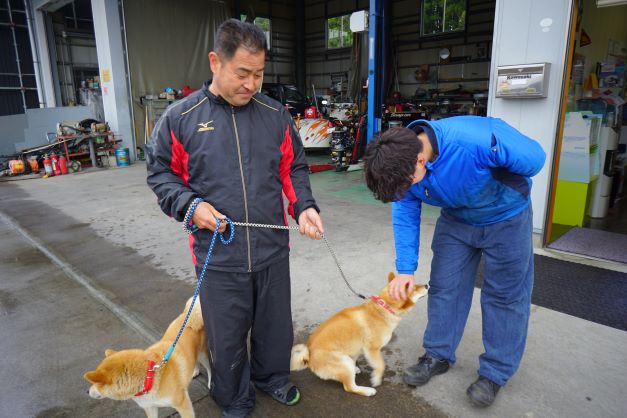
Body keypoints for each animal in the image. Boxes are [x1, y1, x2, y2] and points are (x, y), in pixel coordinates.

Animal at [82, 298, 211, 418]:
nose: (87, 391)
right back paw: (194, 371)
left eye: (96, 384)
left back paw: (210, 383)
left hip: (203, 354)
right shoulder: (150, 407)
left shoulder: (183, 404)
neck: (149, 377)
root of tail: (188, 315)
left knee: (209, 367)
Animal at [292, 272, 430, 396]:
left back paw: (355, 369)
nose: (427, 285)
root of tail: (308, 355)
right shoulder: (372, 349)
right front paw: (376, 378)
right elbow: (381, 365)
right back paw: (367, 391)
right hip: (343, 362)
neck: (383, 309)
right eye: (414, 288)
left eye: (414, 284)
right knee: (350, 387)